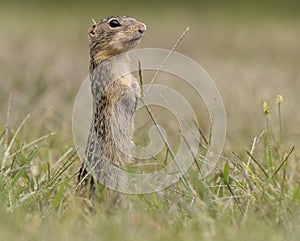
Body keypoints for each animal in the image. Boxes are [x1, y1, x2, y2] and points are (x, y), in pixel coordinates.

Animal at [77, 15, 146, 198]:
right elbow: (120, 88)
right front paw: (132, 92)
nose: (143, 27)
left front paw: (138, 91)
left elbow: (133, 82)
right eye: (114, 23)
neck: (119, 57)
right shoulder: (107, 76)